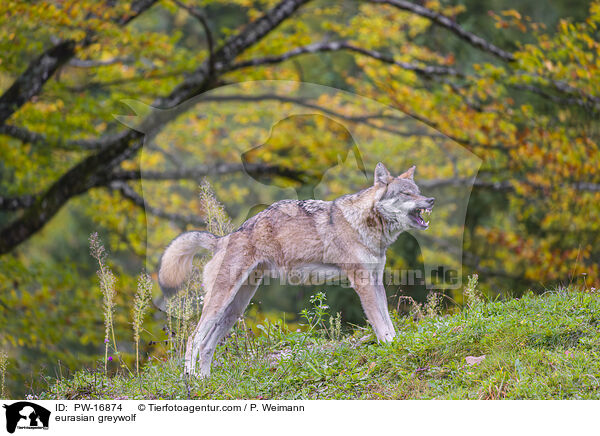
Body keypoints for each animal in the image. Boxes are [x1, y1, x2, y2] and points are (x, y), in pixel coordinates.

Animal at [157, 162, 434, 376]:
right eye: (406, 194)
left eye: (418, 192)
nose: (431, 199)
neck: (364, 223)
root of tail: (223, 238)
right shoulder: (362, 283)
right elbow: (380, 324)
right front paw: (391, 347)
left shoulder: (375, 281)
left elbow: (388, 321)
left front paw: (398, 345)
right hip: (221, 303)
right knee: (193, 339)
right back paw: (190, 380)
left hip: (234, 309)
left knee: (206, 345)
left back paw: (206, 382)